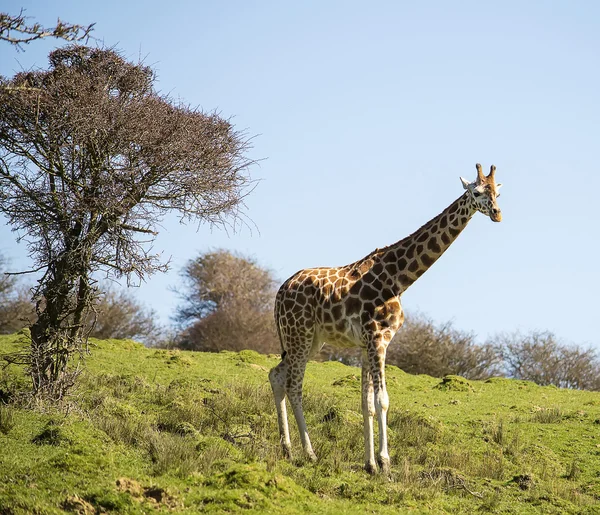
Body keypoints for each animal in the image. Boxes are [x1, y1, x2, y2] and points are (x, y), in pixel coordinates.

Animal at [268, 164, 502, 476]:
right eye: (476, 193)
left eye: (497, 192)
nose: (497, 213)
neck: (400, 279)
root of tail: (280, 293)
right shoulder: (377, 338)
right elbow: (383, 401)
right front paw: (385, 464)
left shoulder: (368, 343)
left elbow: (366, 403)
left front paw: (370, 465)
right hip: (300, 334)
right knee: (293, 385)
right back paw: (309, 453)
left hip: (310, 339)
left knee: (276, 375)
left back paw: (288, 449)